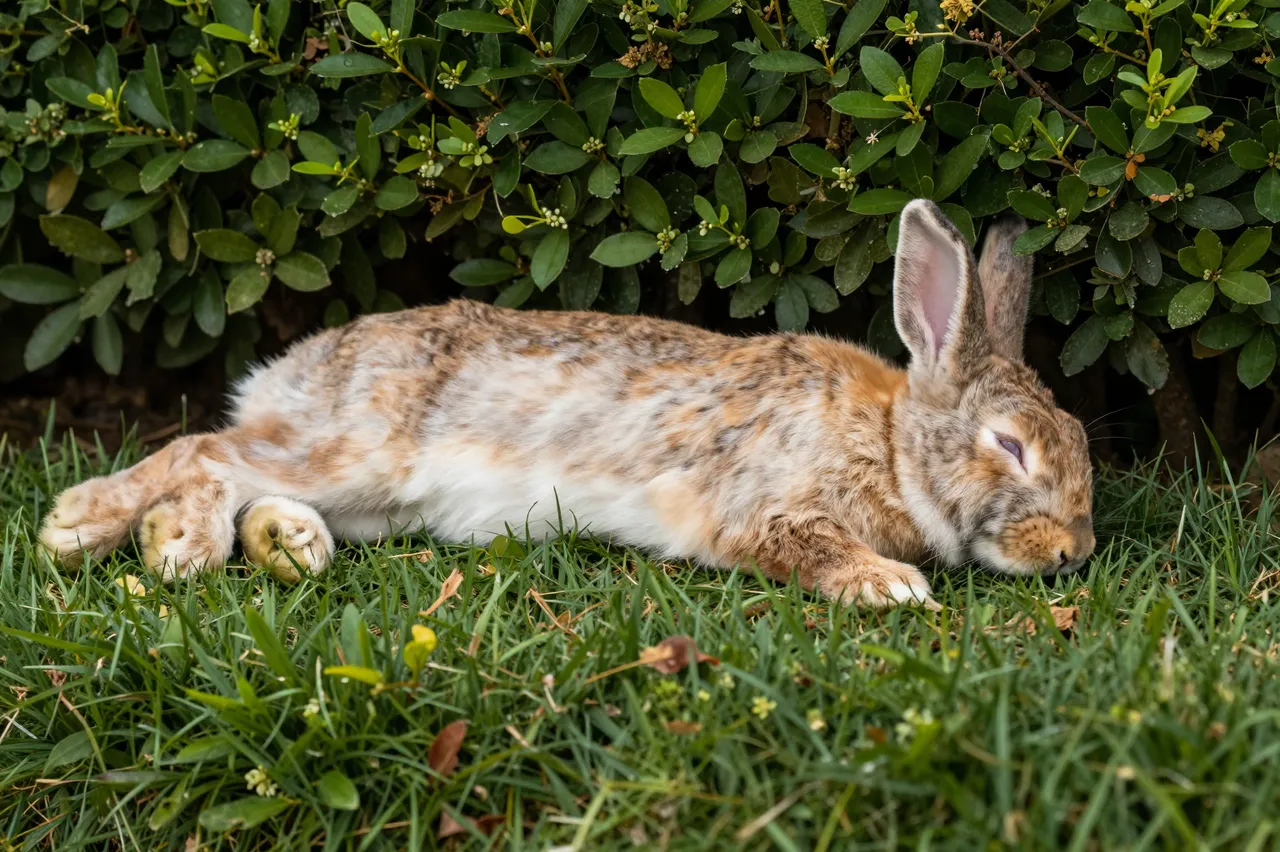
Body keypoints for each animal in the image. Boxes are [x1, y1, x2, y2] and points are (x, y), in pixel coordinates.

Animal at [38, 199, 1095, 606]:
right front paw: (890, 585)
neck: (888, 440)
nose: (1073, 553)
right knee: (204, 451)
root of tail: (294, 368)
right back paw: (117, 533)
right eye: (1011, 445)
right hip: (362, 448)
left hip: (377, 499)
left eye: (1079, 440)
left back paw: (275, 544)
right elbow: (807, 546)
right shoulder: (766, 506)